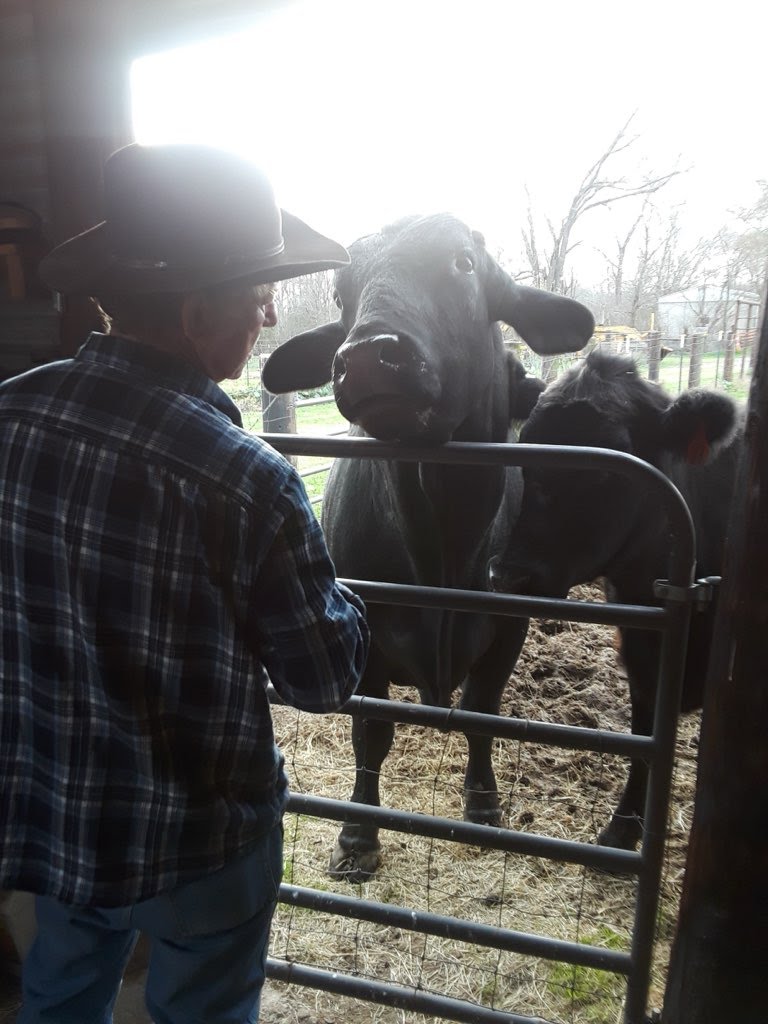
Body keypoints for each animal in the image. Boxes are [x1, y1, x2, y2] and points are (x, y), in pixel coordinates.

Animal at [262, 213, 594, 880]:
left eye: (462, 263)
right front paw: (357, 836)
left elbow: (482, 714)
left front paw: (484, 804)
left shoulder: (509, 627)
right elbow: (372, 735)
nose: (367, 357)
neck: (442, 538)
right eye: (340, 293)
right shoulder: (360, 638)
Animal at [488, 350, 741, 850]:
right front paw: (624, 827)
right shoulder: (642, 658)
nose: (508, 576)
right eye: (525, 459)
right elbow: (644, 743)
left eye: (607, 468)